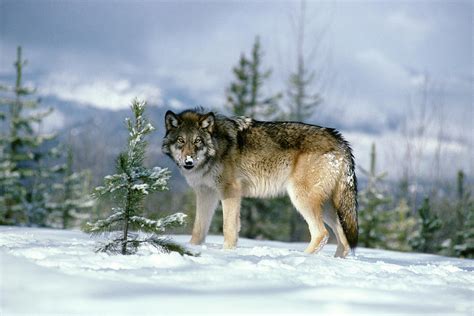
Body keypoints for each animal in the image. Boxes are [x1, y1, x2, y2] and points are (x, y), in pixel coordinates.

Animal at [161, 108, 358, 256]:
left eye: (197, 141)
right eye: (181, 141)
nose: (188, 162)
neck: (216, 147)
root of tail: (341, 141)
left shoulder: (230, 191)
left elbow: (229, 228)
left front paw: (227, 253)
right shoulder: (206, 193)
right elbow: (198, 230)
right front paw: (191, 249)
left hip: (302, 199)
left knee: (322, 234)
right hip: (328, 207)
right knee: (344, 240)